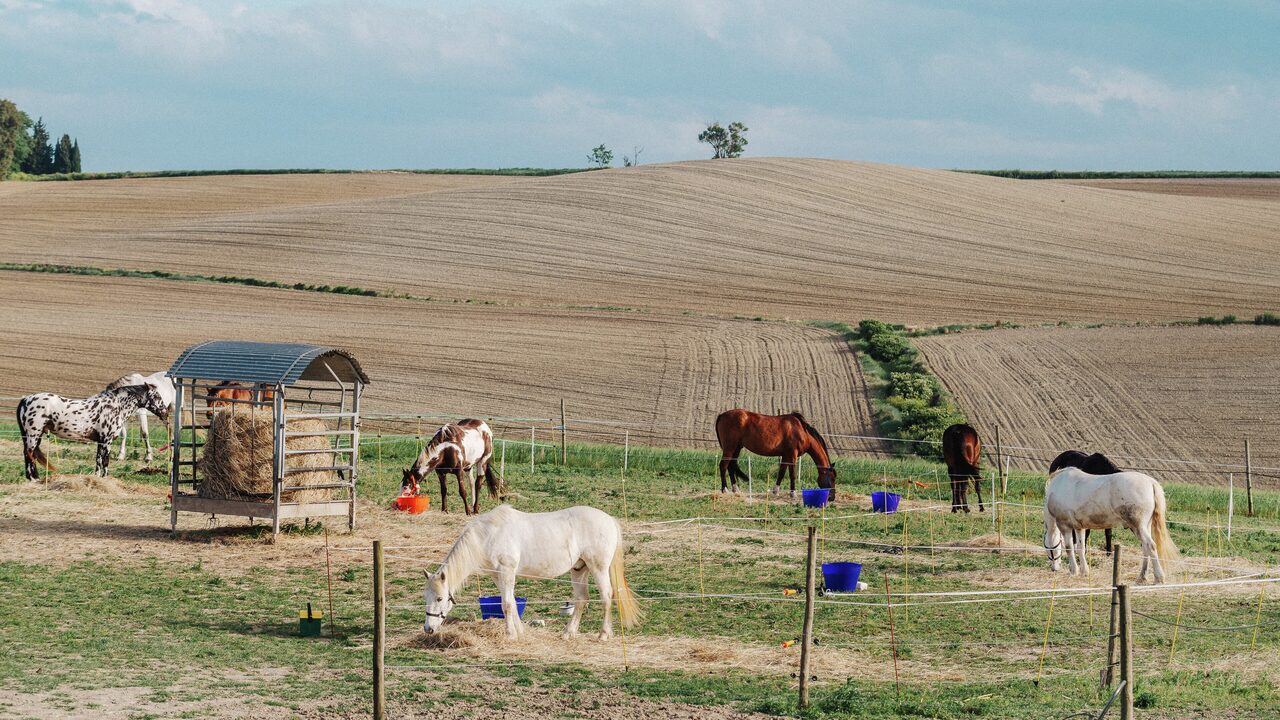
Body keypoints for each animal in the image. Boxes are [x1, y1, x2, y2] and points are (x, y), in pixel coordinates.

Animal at [18, 381, 171, 480]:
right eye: (157, 396)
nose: (165, 413)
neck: (116, 406)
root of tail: (26, 399)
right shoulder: (107, 441)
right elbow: (105, 461)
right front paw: (105, 478)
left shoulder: (100, 441)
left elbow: (98, 461)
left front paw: (97, 477)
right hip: (33, 435)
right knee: (28, 454)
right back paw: (33, 478)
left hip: (36, 436)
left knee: (31, 455)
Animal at [421, 504, 641, 639]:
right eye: (426, 597)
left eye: (440, 598)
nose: (428, 629)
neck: (488, 535)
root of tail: (609, 520)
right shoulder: (499, 576)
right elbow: (508, 601)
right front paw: (519, 632)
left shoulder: (507, 571)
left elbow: (507, 605)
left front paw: (510, 634)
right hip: (579, 569)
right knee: (581, 599)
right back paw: (568, 633)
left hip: (598, 568)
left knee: (606, 597)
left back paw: (603, 634)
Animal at [1044, 467, 1179, 583]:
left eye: (1050, 550)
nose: (1054, 569)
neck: (1057, 487)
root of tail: (1151, 482)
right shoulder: (1079, 527)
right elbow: (1080, 548)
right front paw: (1084, 571)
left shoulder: (1064, 526)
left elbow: (1069, 548)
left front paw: (1073, 571)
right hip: (1143, 527)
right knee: (1145, 548)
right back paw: (1142, 577)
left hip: (1138, 526)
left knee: (1150, 546)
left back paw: (1158, 578)